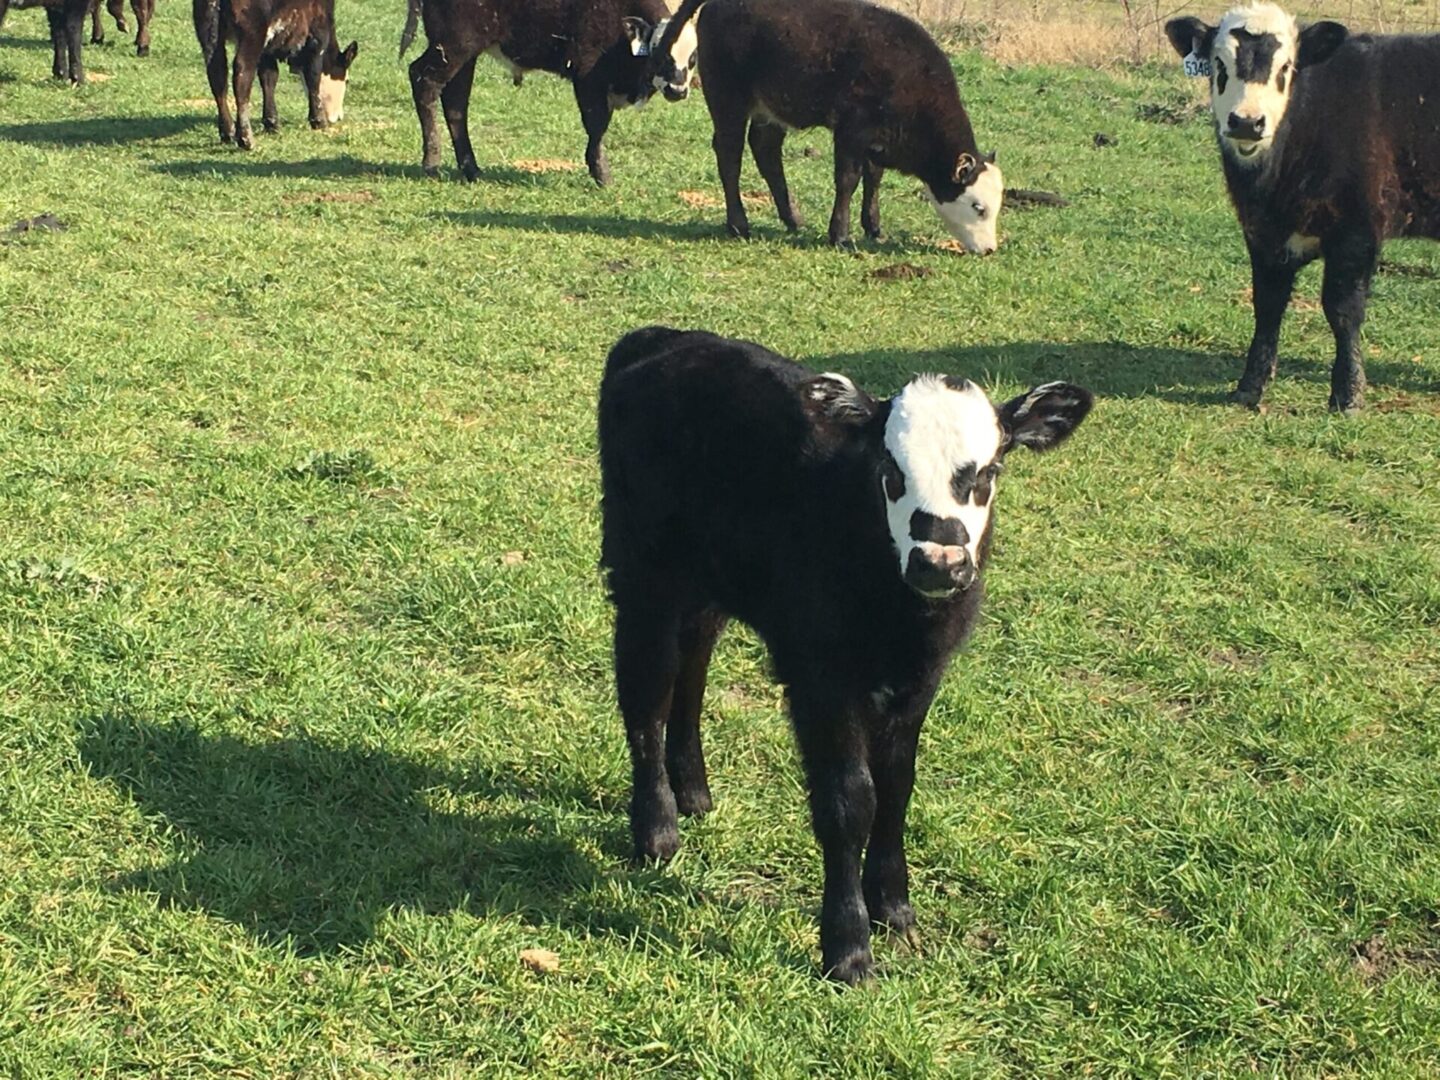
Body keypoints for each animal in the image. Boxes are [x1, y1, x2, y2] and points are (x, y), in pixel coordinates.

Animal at [195, 0, 358, 151]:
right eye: (347, 81)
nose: (339, 117)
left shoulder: (267, 48)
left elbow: (269, 78)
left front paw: (272, 123)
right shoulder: (317, 35)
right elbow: (314, 77)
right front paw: (318, 120)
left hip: (208, 32)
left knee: (217, 75)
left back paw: (227, 132)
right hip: (252, 34)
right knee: (242, 75)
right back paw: (246, 138)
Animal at [400, 0, 702, 184]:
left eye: (692, 59)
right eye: (660, 55)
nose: (677, 90)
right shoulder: (587, 75)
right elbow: (597, 125)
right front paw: (602, 174)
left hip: (465, 53)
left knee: (456, 103)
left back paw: (471, 168)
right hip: (452, 47)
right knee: (423, 80)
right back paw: (431, 163)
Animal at [596, 325, 1088, 984]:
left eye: (989, 470)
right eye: (889, 468)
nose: (939, 563)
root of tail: (657, 338)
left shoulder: (920, 678)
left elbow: (898, 786)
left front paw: (895, 907)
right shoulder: (819, 674)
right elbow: (849, 800)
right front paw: (848, 947)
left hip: (711, 579)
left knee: (692, 661)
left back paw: (694, 791)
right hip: (642, 565)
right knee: (646, 683)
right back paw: (656, 829)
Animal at [1169, 4, 1440, 414]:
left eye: (1286, 67)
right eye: (1219, 63)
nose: (1247, 122)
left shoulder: (1357, 229)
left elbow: (1343, 310)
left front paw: (1348, 393)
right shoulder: (1261, 231)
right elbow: (1267, 304)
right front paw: (1250, 386)